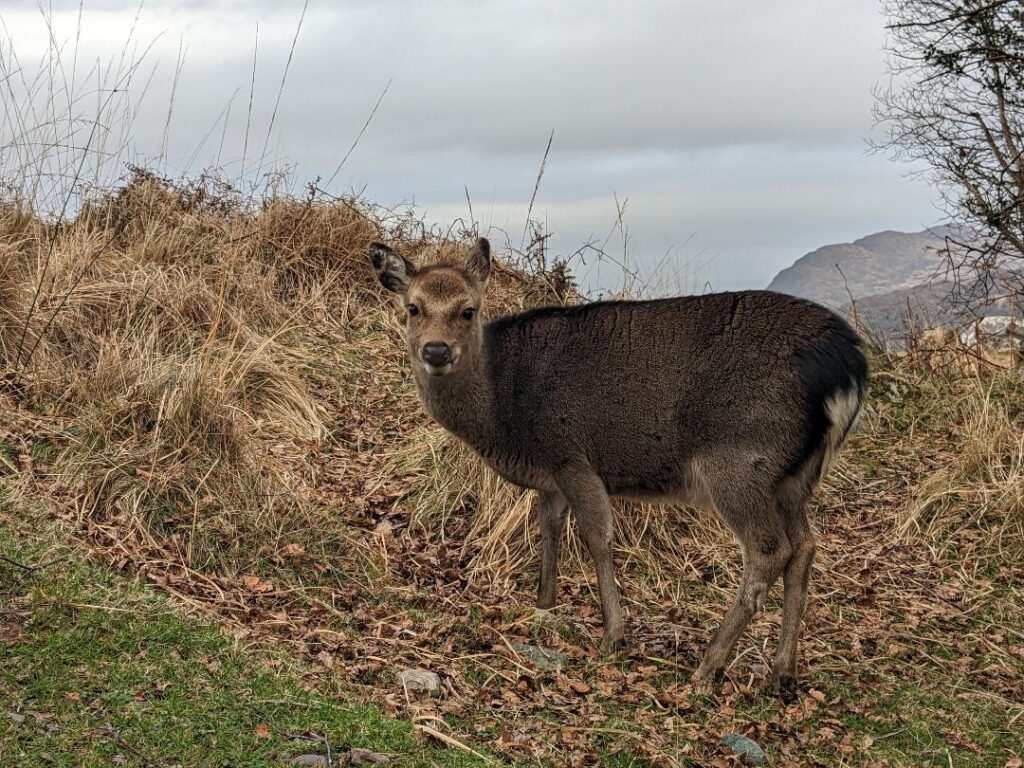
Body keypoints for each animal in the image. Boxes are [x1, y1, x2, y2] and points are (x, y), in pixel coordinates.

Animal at [368, 237, 864, 700]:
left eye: (468, 310)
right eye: (413, 307)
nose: (436, 351)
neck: (503, 414)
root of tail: (850, 368)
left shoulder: (572, 455)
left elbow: (597, 536)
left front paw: (613, 634)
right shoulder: (550, 474)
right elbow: (549, 527)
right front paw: (543, 606)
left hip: (741, 462)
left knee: (769, 550)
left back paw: (708, 666)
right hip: (796, 477)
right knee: (805, 547)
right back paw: (782, 672)